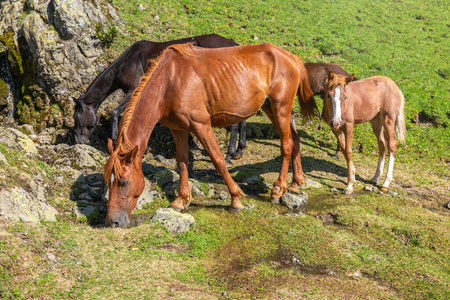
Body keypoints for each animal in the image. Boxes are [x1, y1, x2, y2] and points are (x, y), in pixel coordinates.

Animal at [71, 34, 239, 144]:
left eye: (76, 117)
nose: (78, 140)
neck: (125, 64)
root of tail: (233, 44)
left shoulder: (134, 89)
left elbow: (116, 112)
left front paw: (114, 139)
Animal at [104, 42, 316, 227]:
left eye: (123, 182)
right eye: (109, 181)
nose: (113, 221)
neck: (169, 81)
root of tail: (288, 55)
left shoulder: (201, 125)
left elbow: (218, 160)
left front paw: (236, 199)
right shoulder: (178, 129)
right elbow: (182, 163)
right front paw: (181, 200)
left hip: (281, 108)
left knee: (286, 145)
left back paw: (278, 190)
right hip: (270, 108)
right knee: (295, 140)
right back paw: (296, 183)